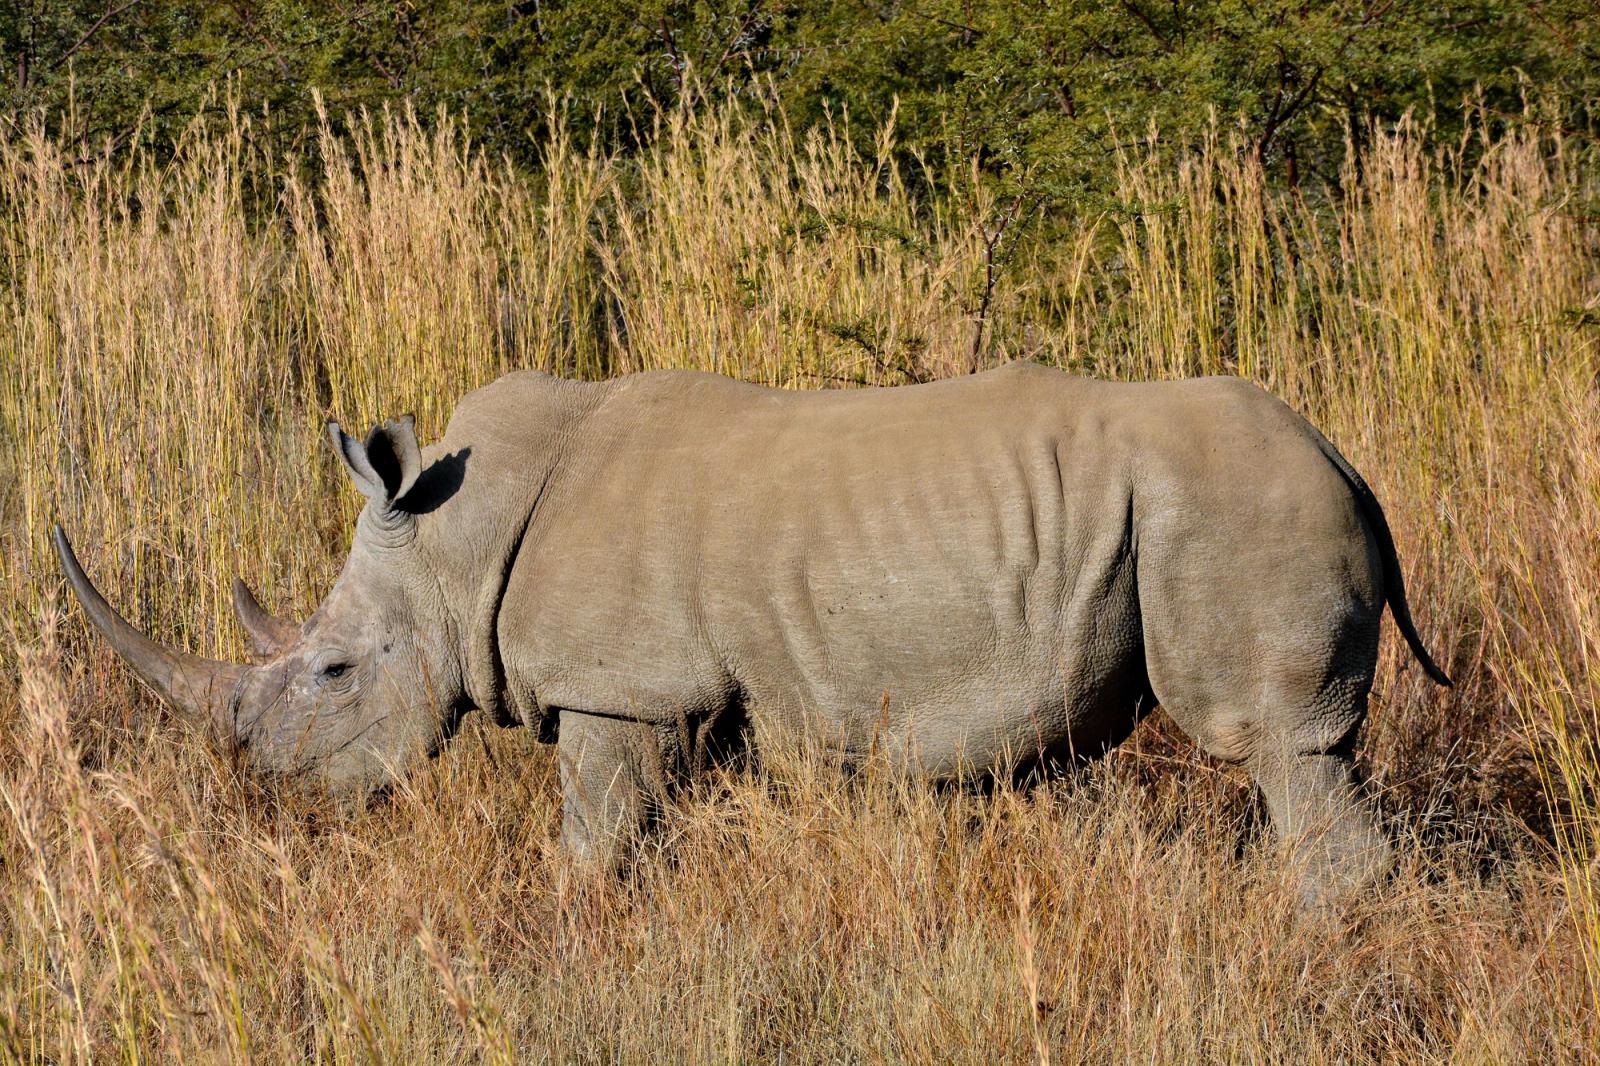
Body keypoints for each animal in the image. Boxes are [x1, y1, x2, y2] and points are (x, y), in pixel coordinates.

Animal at [56, 362, 1450, 905]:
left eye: (335, 671)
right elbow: (648, 837)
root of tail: (1348, 462)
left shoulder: (624, 691)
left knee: (1277, 748)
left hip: (1235, 508)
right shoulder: (684, 701)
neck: (454, 543)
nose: (264, 793)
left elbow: (593, 847)